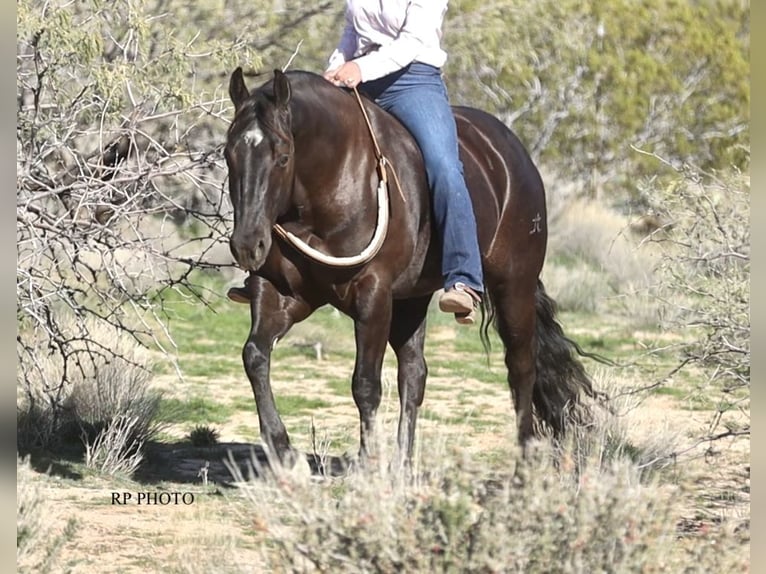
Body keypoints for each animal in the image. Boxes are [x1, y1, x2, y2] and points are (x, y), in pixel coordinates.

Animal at [223, 67, 596, 469]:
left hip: (515, 287)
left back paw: (524, 461)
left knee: (521, 367)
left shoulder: (373, 296)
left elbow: (365, 383)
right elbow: (255, 356)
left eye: (282, 156)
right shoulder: (282, 293)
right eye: (228, 153)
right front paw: (283, 451)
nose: (247, 245)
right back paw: (403, 461)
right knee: (414, 374)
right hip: (413, 300)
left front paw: (368, 464)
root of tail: (516, 155)